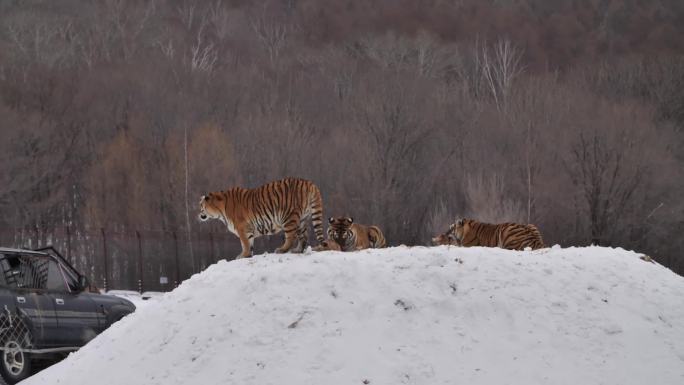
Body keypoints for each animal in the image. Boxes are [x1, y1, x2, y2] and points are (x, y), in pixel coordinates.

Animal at [198, 177, 326, 258]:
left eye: (201, 206)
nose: (199, 214)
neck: (221, 211)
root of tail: (309, 183)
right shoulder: (248, 229)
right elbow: (249, 243)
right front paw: (248, 255)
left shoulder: (242, 227)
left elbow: (244, 243)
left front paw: (243, 255)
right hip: (302, 220)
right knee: (303, 237)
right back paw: (297, 250)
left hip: (288, 217)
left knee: (291, 236)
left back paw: (281, 250)